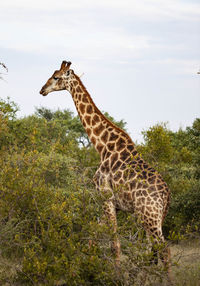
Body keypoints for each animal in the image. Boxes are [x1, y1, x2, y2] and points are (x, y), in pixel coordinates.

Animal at [40, 60, 170, 270]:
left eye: (56, 77)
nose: (42, 90)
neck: (102, 146)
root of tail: (167, 195)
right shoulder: (110, 203)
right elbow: (93, 236)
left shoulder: (106, 197)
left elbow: (114, 245)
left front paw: (114, 273)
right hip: (156, 217)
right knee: (154, 250)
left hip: (148, 215)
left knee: (164, 250)